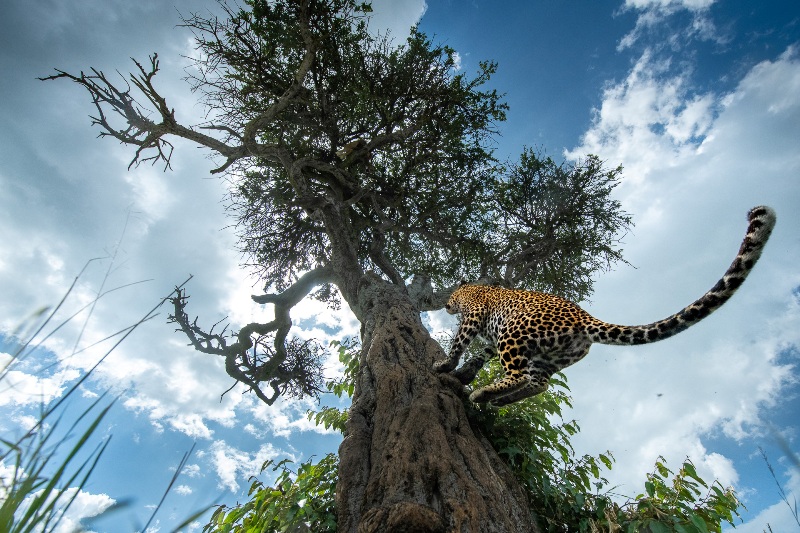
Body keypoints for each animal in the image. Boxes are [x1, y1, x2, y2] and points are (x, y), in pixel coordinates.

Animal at [434, 206, 780, 406]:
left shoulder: (475, 316)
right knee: (538, 384)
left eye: (453, 299)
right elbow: (481, 353)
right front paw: (466, 372)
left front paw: (446, 366)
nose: (446, 304)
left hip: (515, 334)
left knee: (521, 376)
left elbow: (460, 343)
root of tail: (584, 318)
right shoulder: (493, 337)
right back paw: (500, 400)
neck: (473, 288)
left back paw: (484, 394)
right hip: (546, 356)